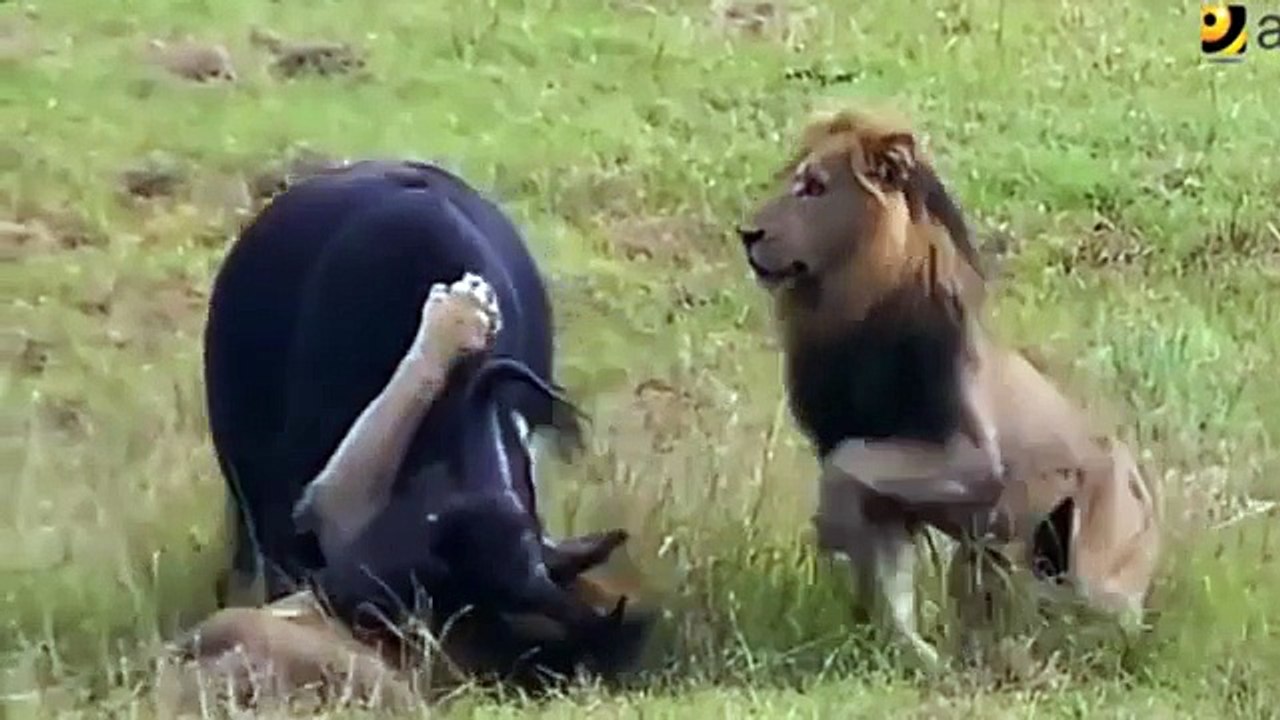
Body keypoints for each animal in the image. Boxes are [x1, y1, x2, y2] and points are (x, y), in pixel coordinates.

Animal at [735, 107, 1161, 667]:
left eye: (814, 187)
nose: (746, 232)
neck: (847, 310)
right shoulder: (889, 497)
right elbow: (889, 580)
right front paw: (914, 656)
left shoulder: (974, 461)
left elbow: (846, 463)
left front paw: (831, 527)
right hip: (988, 555)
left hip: (1094, 563)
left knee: (1105, 622)